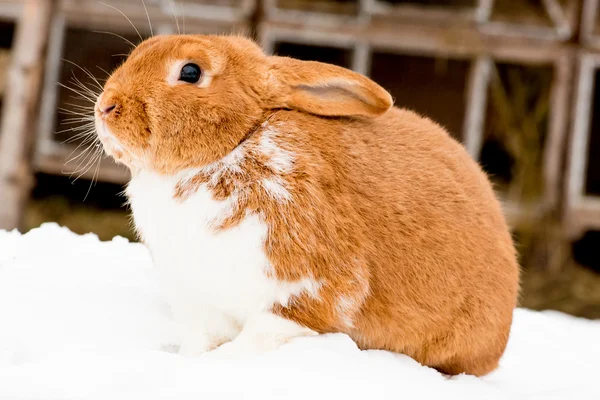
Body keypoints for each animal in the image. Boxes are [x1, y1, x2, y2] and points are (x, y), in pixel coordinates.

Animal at [94, 33, 520, 376]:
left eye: (190, 72)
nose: (106, 107)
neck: (232, 146)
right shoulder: (200, 305)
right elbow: (199, 343)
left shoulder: (303, 295)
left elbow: (256, 339)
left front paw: (211, 367)